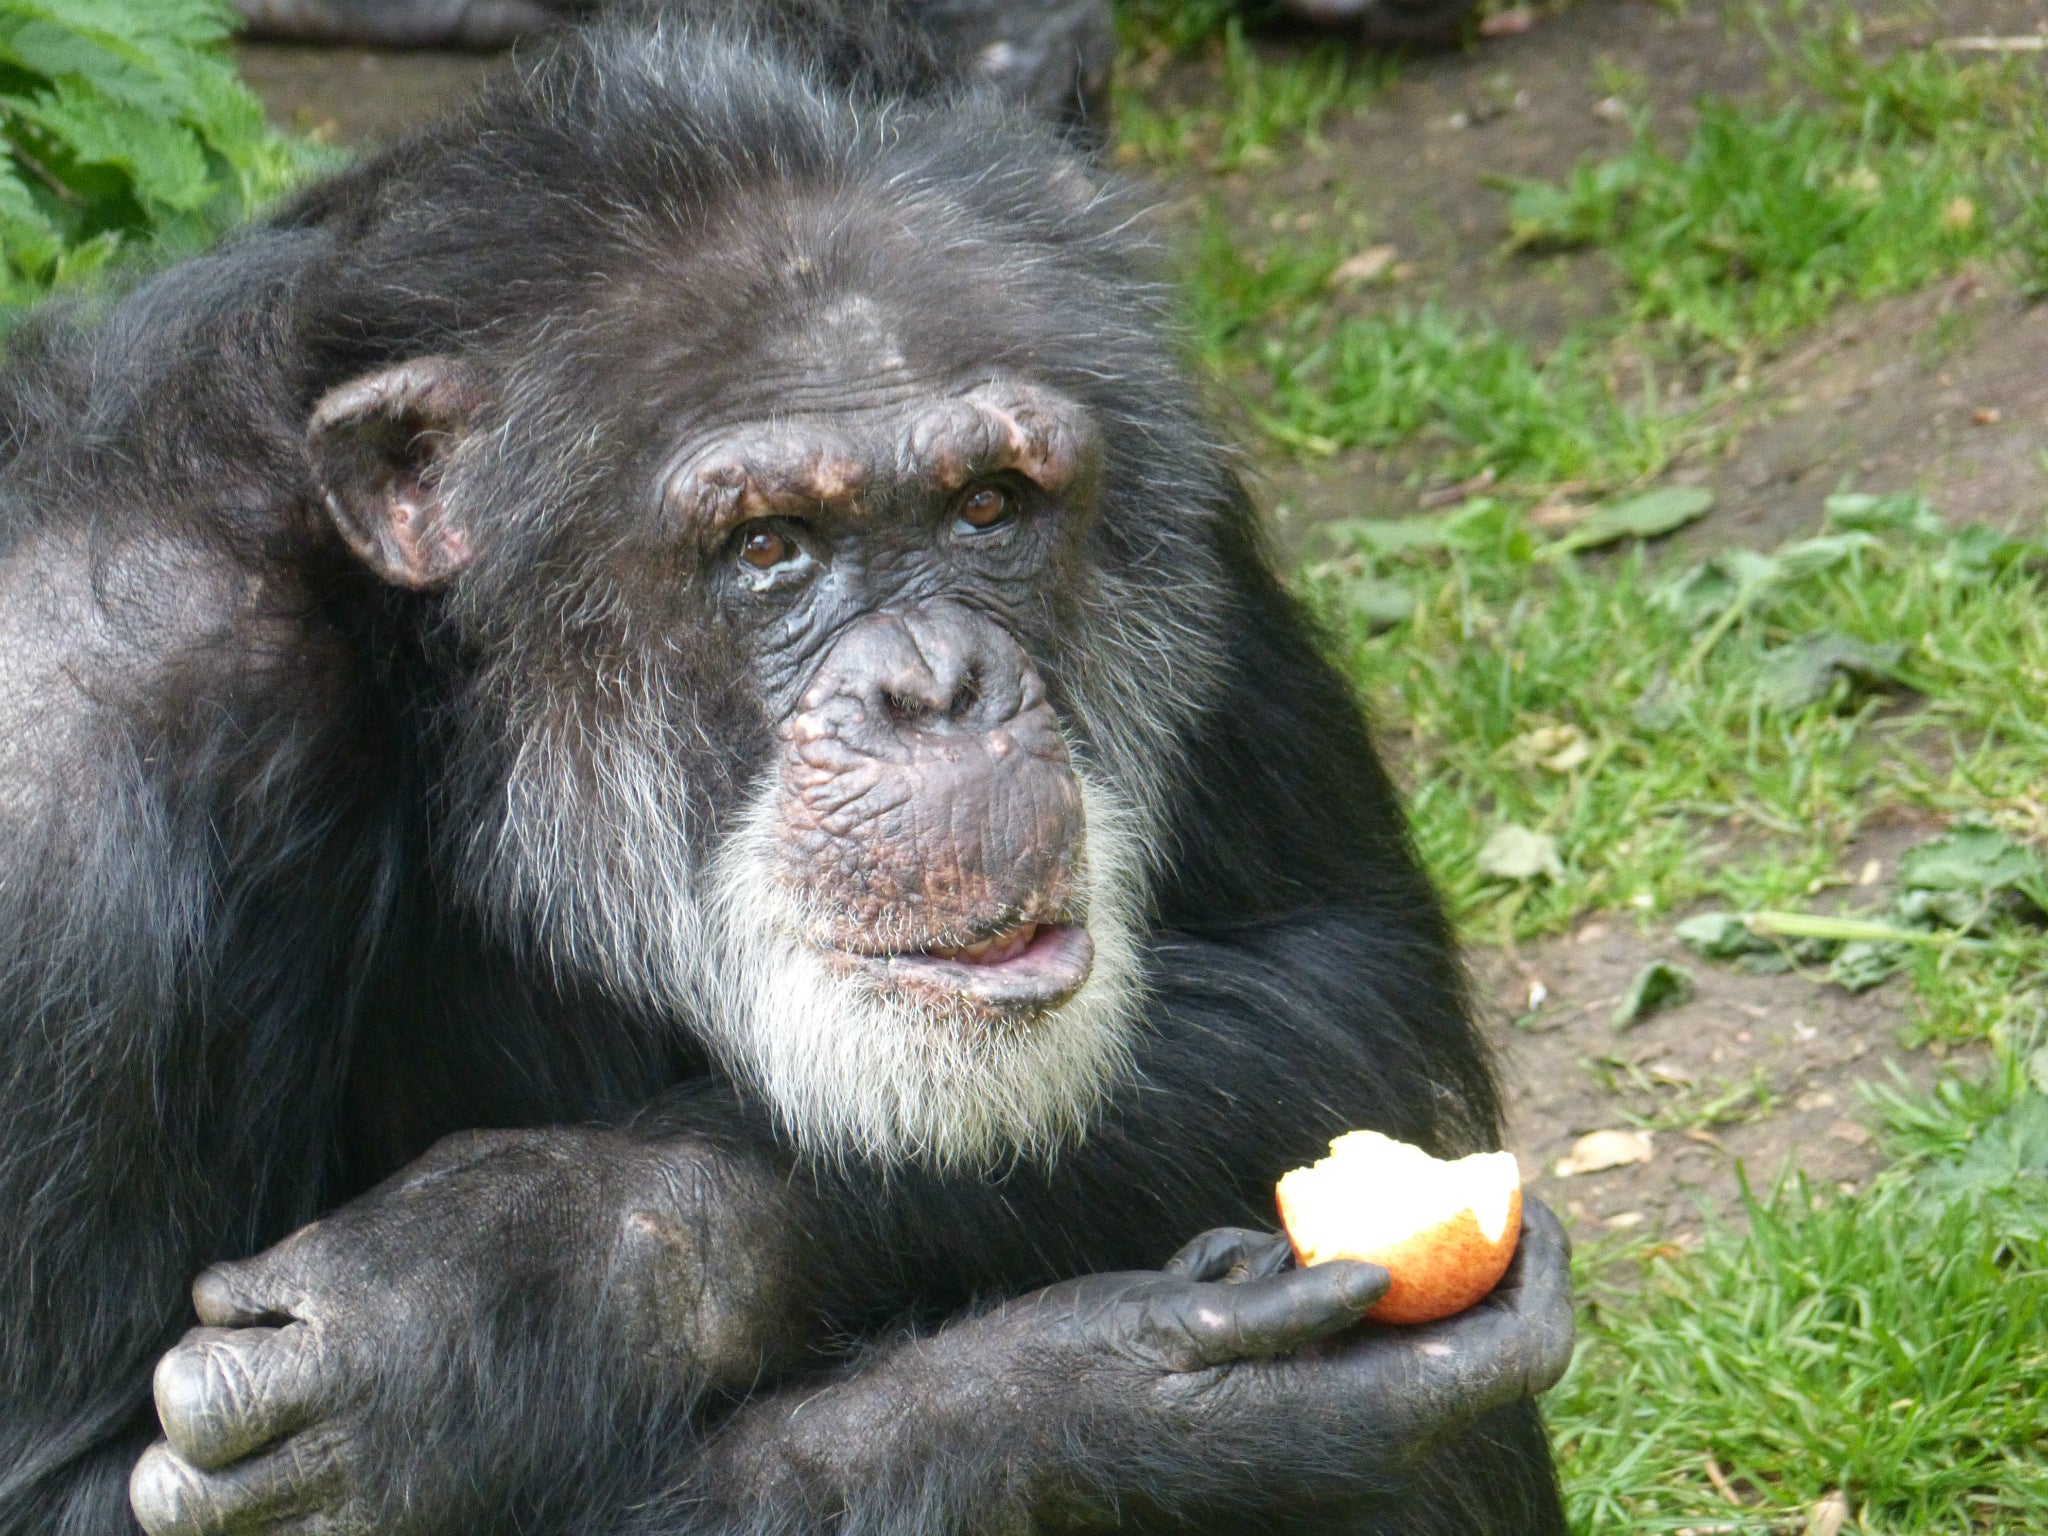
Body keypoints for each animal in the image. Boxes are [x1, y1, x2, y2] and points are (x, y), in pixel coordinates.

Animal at [0, 6, 1564, 1531]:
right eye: (767, 547)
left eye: (988, 506)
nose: (934, 690)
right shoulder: (78, 776)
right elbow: (73, 1489)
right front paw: (1172, 1410)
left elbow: (1343, 982)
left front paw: (522, 1276)